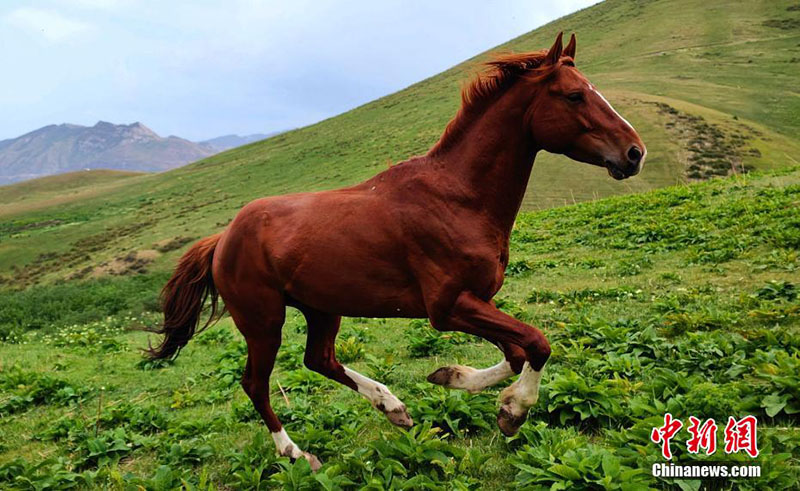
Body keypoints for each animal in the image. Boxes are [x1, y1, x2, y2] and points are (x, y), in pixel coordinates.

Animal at [144, 30, 644, 468]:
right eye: (575, 96)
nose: (634, 153)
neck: (459, 198)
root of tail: (222, 238)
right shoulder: (447, 307)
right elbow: (537, 343)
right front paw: (513, 412)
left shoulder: (477, 301)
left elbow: (517, 351)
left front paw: (454, 378)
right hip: (263, 321)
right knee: (255, 383)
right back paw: (296, 453)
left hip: (322, 307)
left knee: (319, 360)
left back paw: (394, 407)